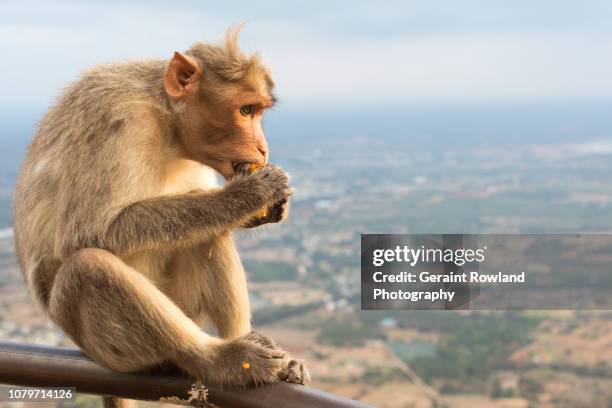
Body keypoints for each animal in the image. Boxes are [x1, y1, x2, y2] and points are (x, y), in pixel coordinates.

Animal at [13, 27, 310, 406]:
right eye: (246, 110)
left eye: (258, 111)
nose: (263, 148)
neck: (167, 120)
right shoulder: (117, 120)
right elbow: (88, 232)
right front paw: (244, 196)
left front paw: (268, 208)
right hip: (108, 347)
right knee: (87, 267)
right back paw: (220, 359)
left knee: (206, 235)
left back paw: (250, 344)